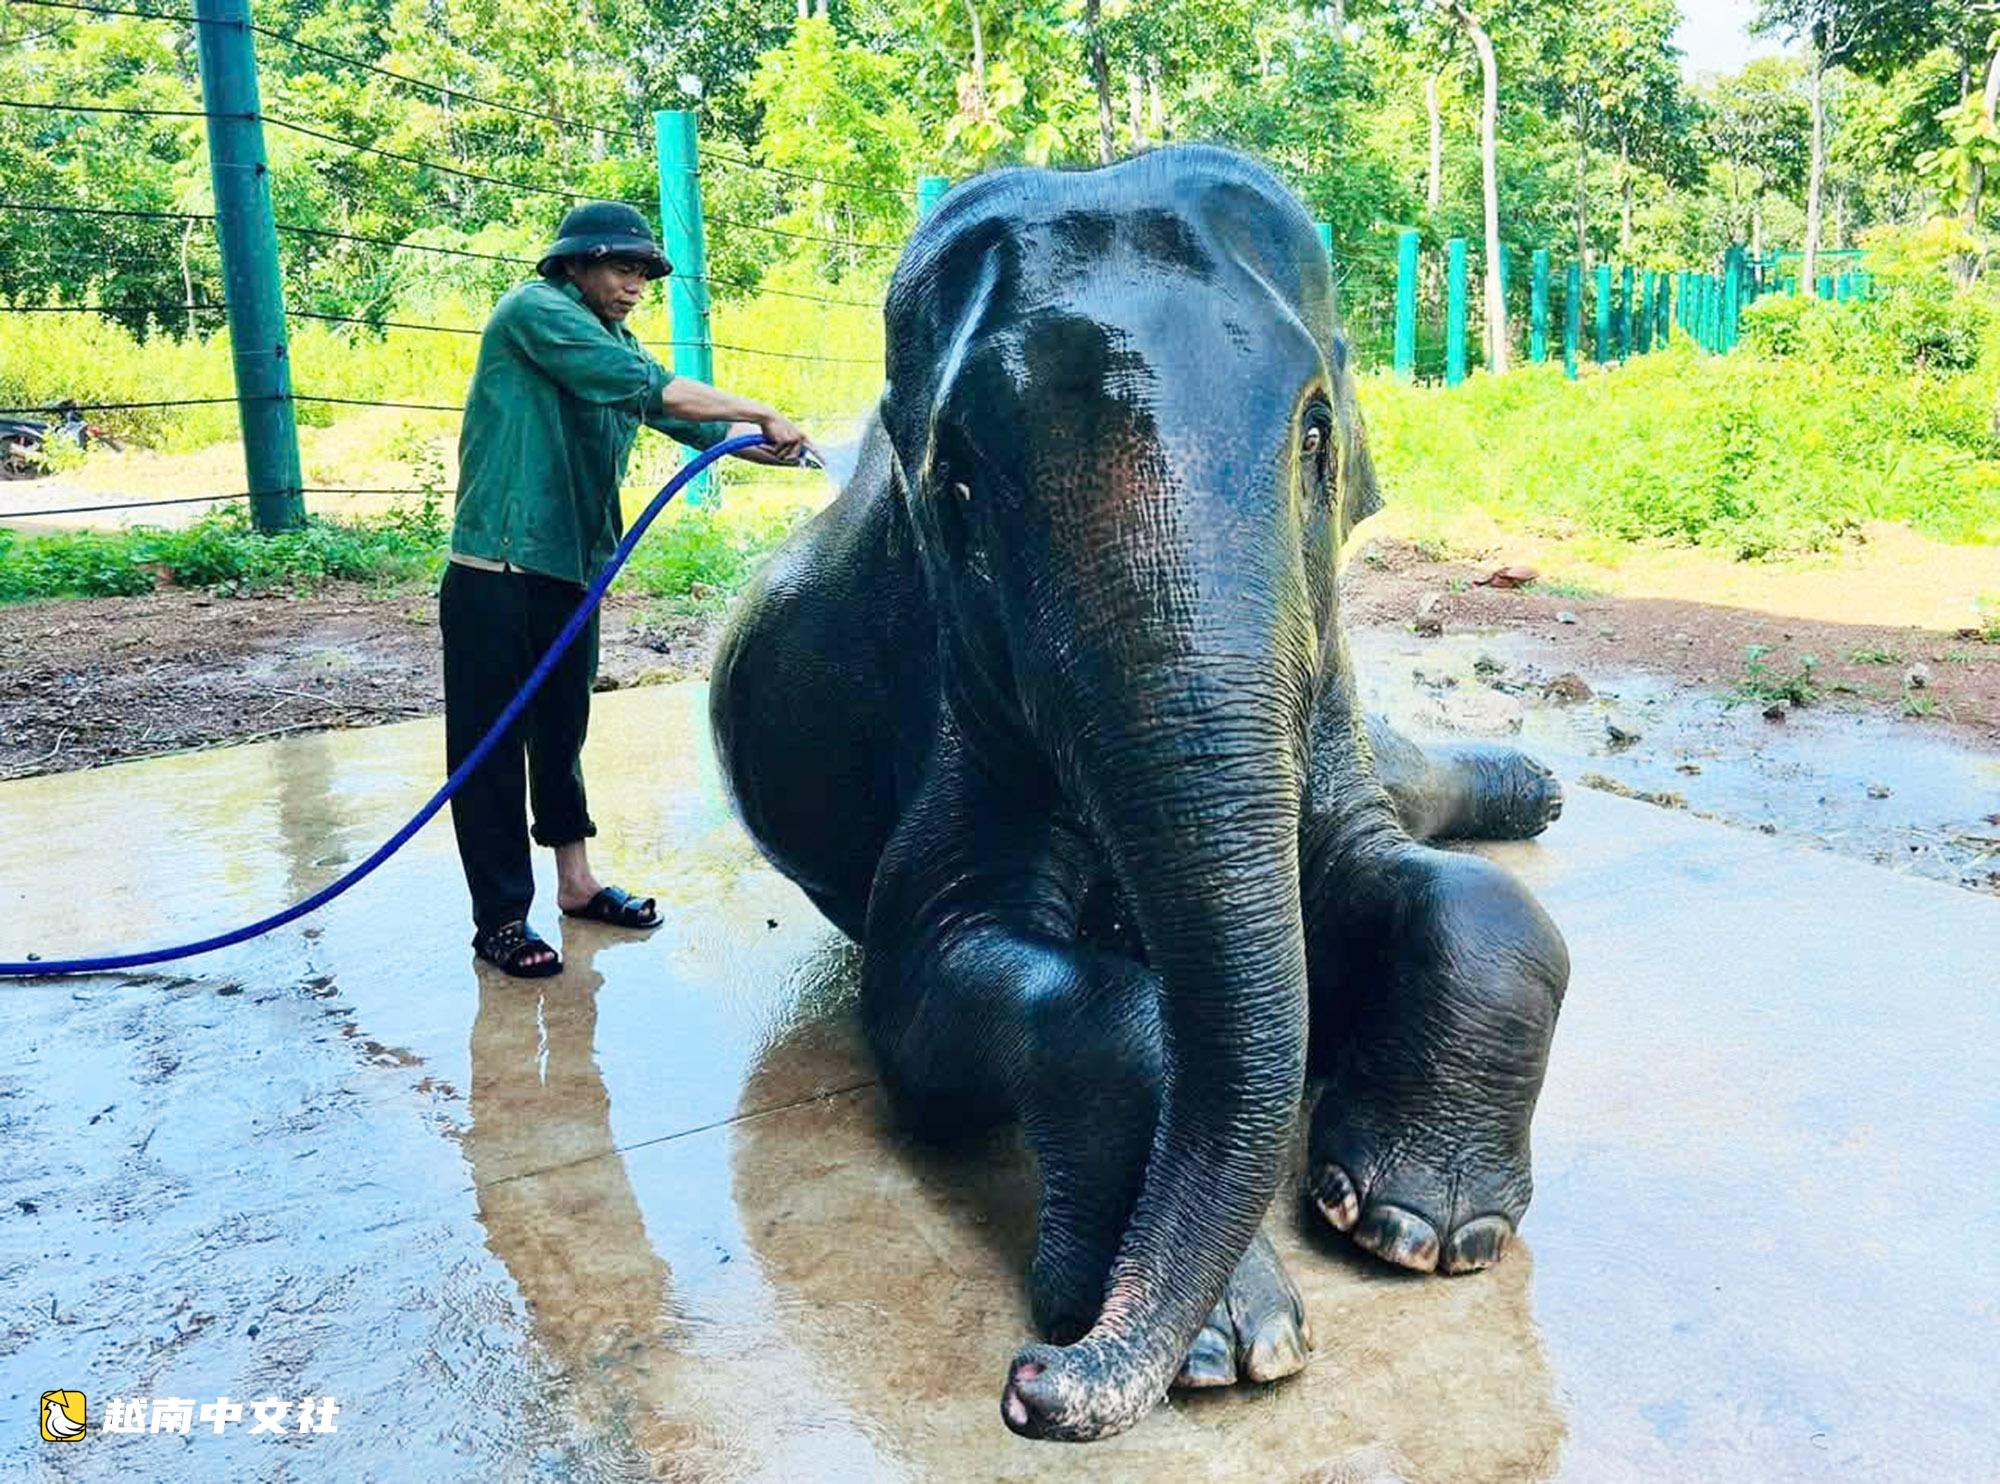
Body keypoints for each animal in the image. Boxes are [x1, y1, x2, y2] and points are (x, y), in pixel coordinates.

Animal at [708, 144, 1568, 1444]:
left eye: (1315, 433)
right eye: (956, 483)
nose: (1033, 1382)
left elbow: (1433, 888)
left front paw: (1417, 1227)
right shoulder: (955, 701)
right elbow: (933, 985)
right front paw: (1230, 1343)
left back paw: (1536, 788)